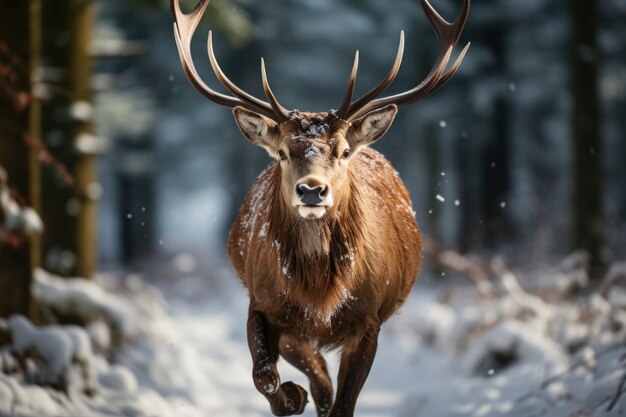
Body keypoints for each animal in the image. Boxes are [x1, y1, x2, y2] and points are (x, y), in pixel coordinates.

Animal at [171, 0, 468, 412]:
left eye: (342, 151)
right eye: (282, 152)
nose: (312, 190)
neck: (319, 294)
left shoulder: (369, 320)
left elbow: (344, 403)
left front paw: (300, 396)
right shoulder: (261, 303)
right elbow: (265, 375)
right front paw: (291, 397)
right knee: (315, 374)